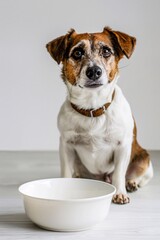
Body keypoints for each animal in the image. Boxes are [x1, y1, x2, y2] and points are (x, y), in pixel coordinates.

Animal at [46, 27, 152, 204]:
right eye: (77, 53)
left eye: (106, 51)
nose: (94, 71)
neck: (92, 109)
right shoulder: (66, 145)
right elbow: (66, 171)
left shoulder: (123, 145)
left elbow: (119, 173)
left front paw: (120, 193)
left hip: (144, 159)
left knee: (137, 177)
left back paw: (131, 183)